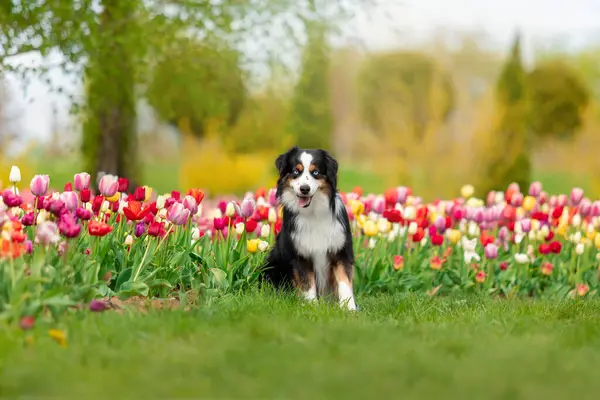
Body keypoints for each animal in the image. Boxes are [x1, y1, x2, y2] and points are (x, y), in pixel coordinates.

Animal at [262, 145, 356, 310]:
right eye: (296, 172)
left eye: (316, 172)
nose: (304, 189)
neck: (313, 213)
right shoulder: (300, 254)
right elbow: (307, 284)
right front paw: (312, 307)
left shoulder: (341, 251)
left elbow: (345, 282)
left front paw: (350, 309)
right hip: (271, 265)